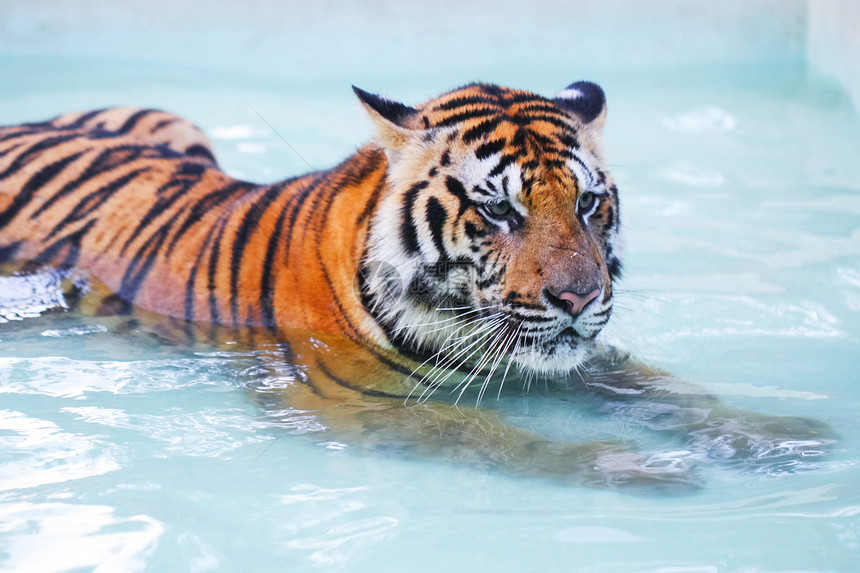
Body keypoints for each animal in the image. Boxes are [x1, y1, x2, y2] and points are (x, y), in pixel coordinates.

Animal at [0, 82, 832, 490]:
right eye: (500, 209)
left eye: (590, 202)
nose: (579, 298)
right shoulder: (347, 402)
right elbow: (495, 438)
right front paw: (631, 464)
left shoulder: (580, 359)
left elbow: (677, 395)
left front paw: (782, 439)